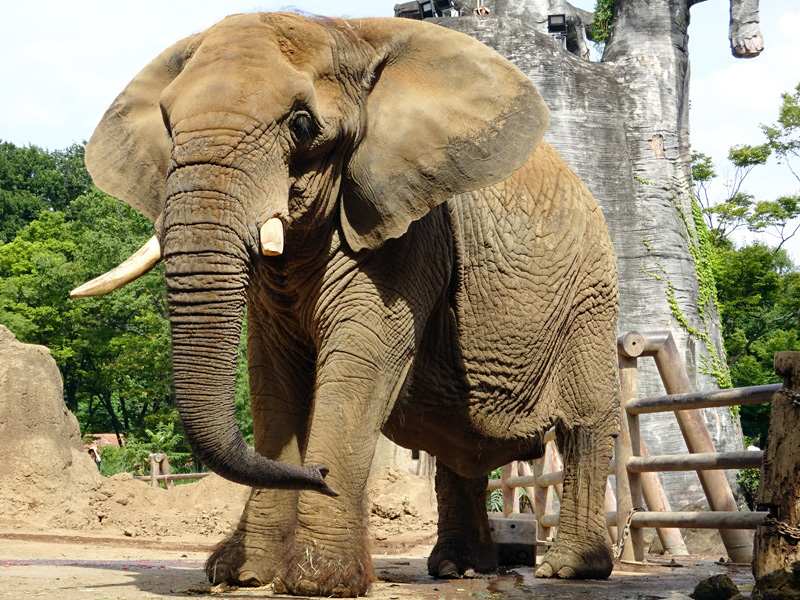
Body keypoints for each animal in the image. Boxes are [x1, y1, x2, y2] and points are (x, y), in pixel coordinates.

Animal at [75, 11, 620, 596]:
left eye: (302, 125)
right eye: (167, 123)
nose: (321, 477)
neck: (345, 34)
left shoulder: (408, 233)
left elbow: (362, 358)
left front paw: (319, 581)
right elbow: (273, 378)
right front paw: (242, 575)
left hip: (592, 293)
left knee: (586, 425)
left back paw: (568, 568)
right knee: (458, 446)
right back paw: (460, 567)